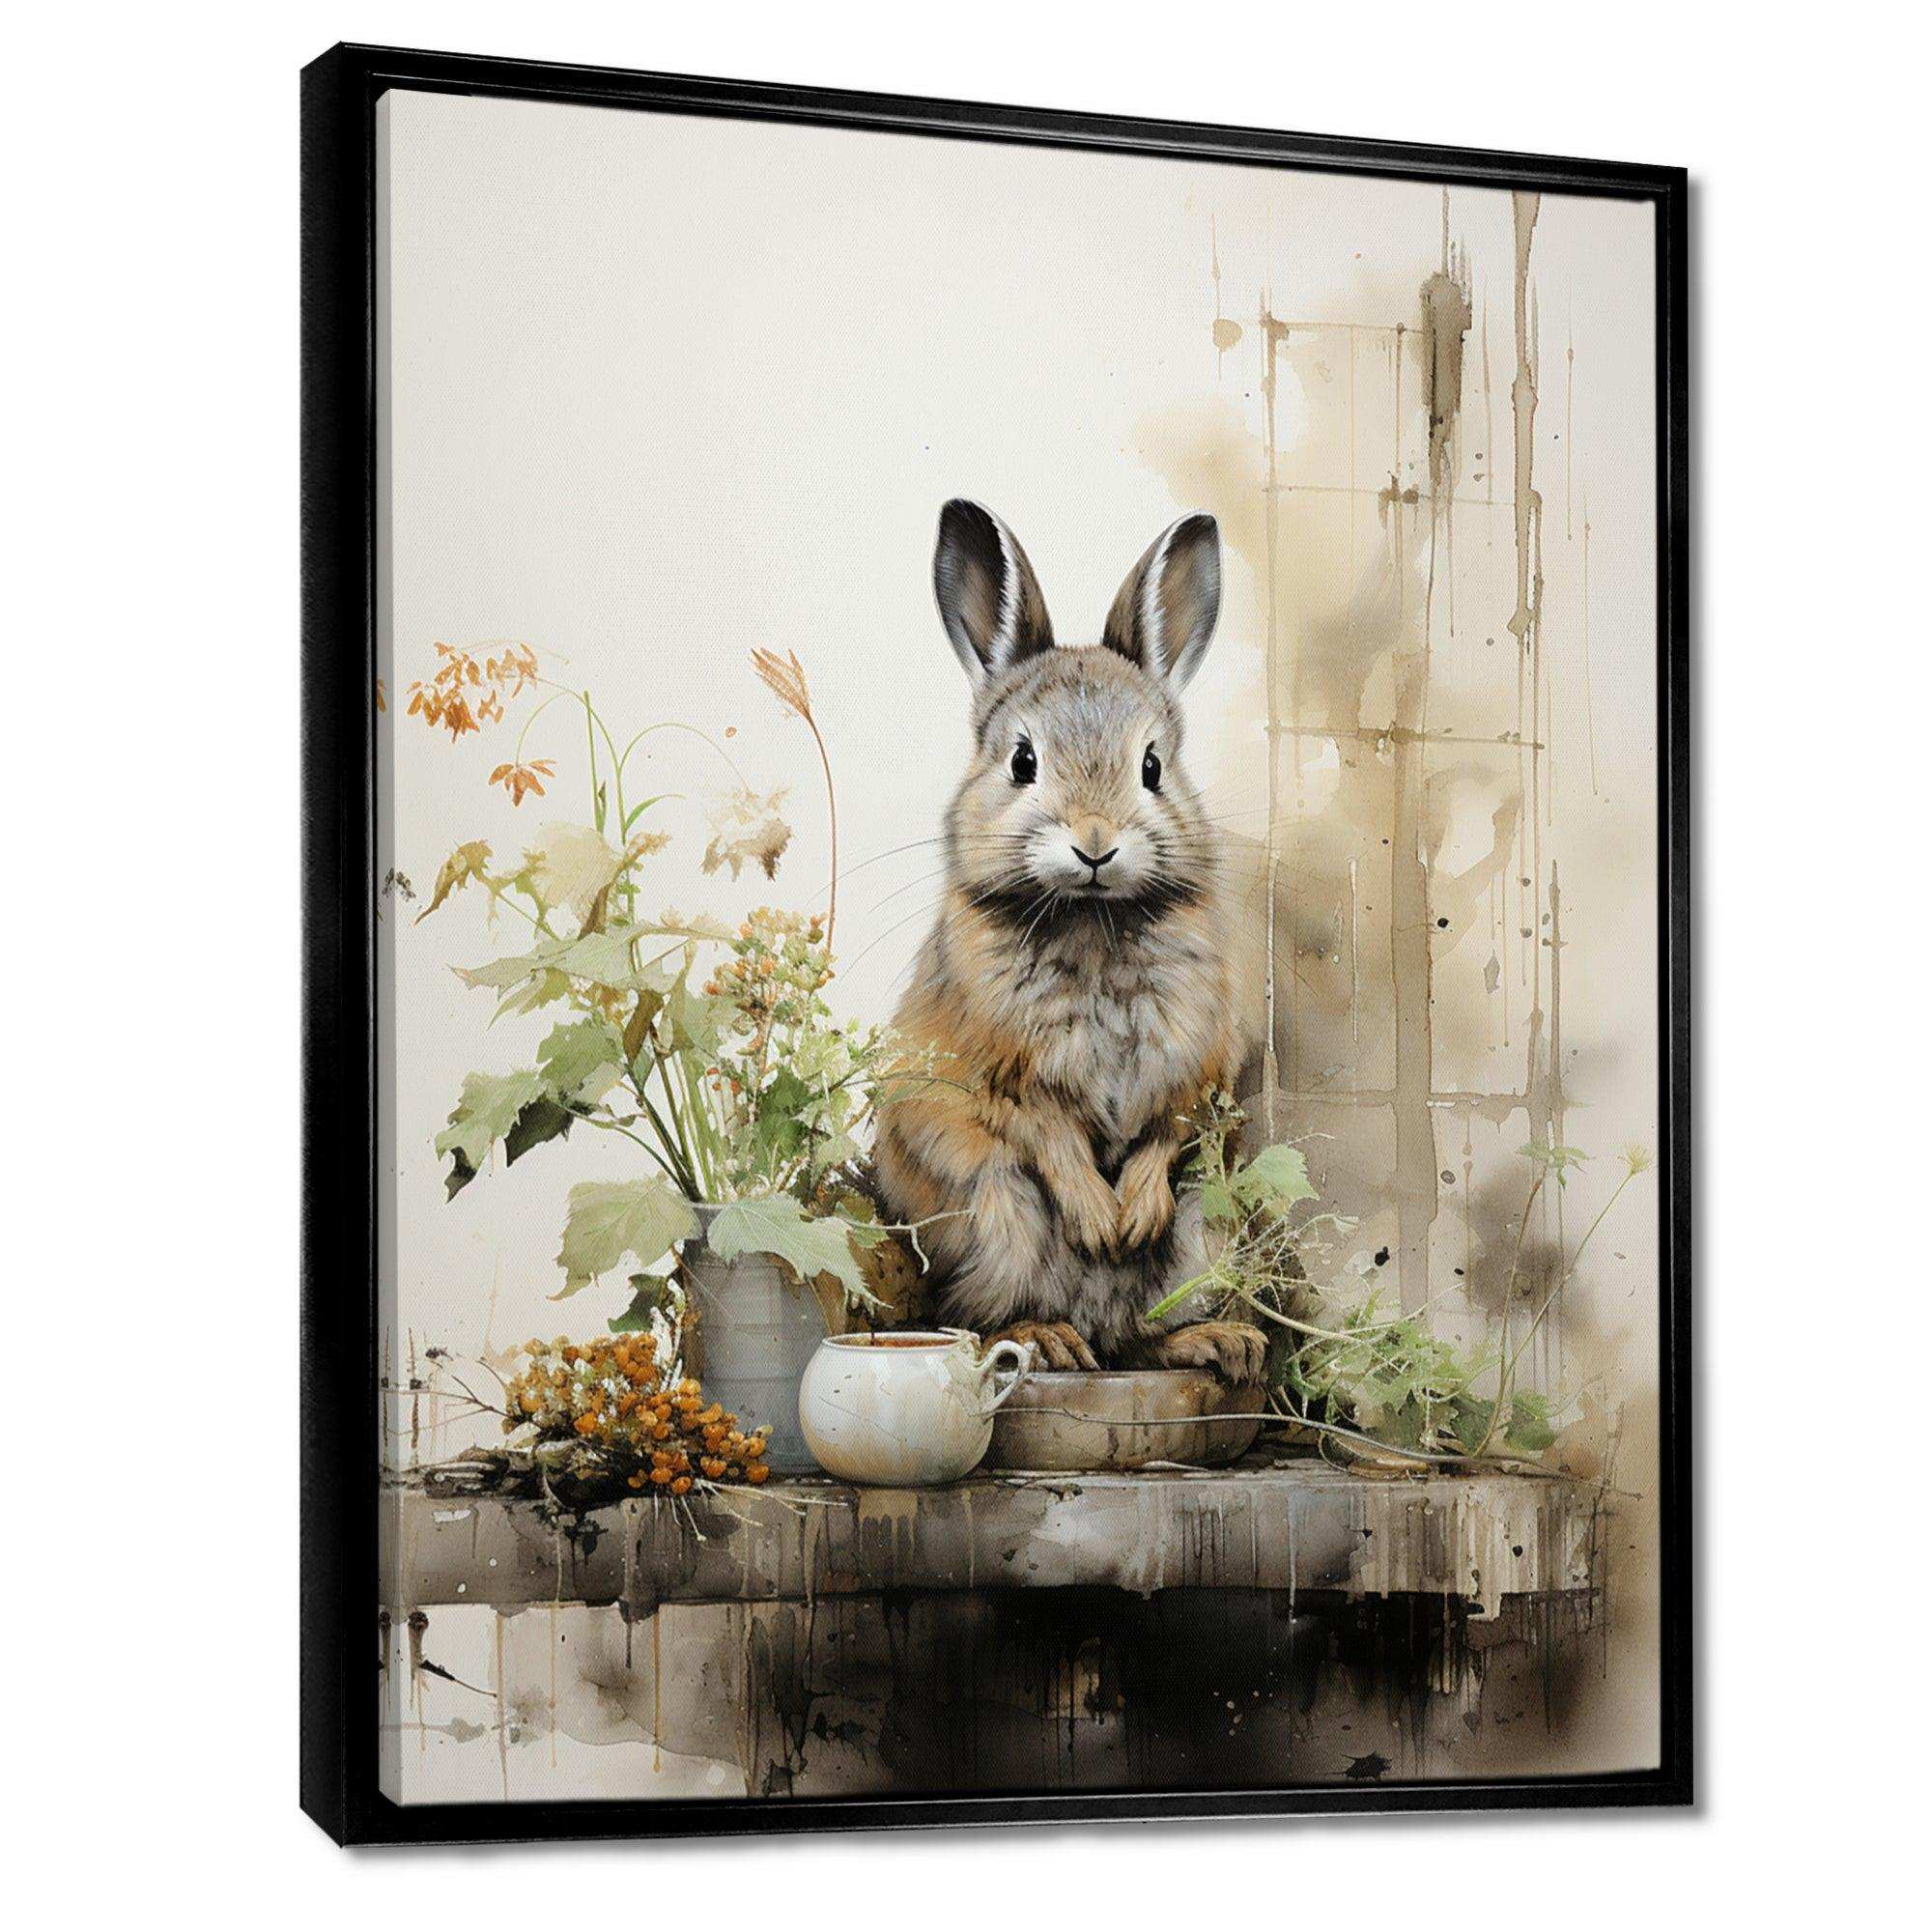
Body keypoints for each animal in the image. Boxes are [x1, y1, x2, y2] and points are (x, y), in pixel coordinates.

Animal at [872, 499, 1267, 1384]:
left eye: (1152, 766)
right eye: (1023, 761)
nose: (1095, 843)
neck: (1092, 920)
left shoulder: (1199, 1065)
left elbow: (1165, 1131)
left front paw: (1131, 1215)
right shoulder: (1004, 1075)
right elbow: (1049, 1135)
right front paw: (1098, 1219)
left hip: (1206, 1229)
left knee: (1141, 1335)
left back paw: (1218, 1342)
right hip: (995, 1214)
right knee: (979, 1318)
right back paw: (1051, 1340)